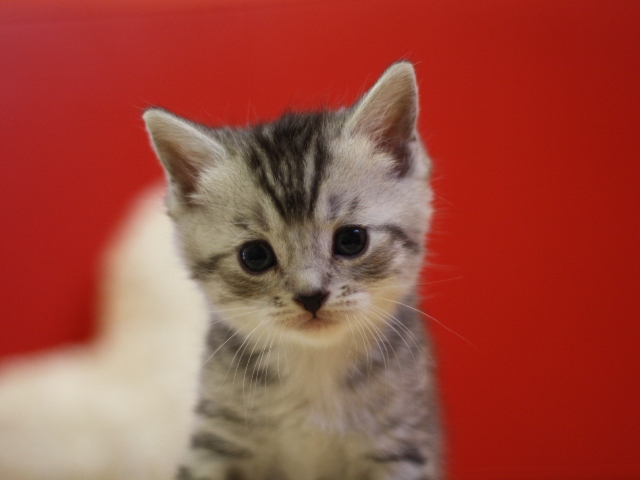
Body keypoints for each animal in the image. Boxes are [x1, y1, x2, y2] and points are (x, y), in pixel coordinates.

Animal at [142, 62, 440, 480]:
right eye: (255, 256)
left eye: (352, 240)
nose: (311, 296)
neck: (313, 364)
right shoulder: (216, 443)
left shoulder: (399, 445)